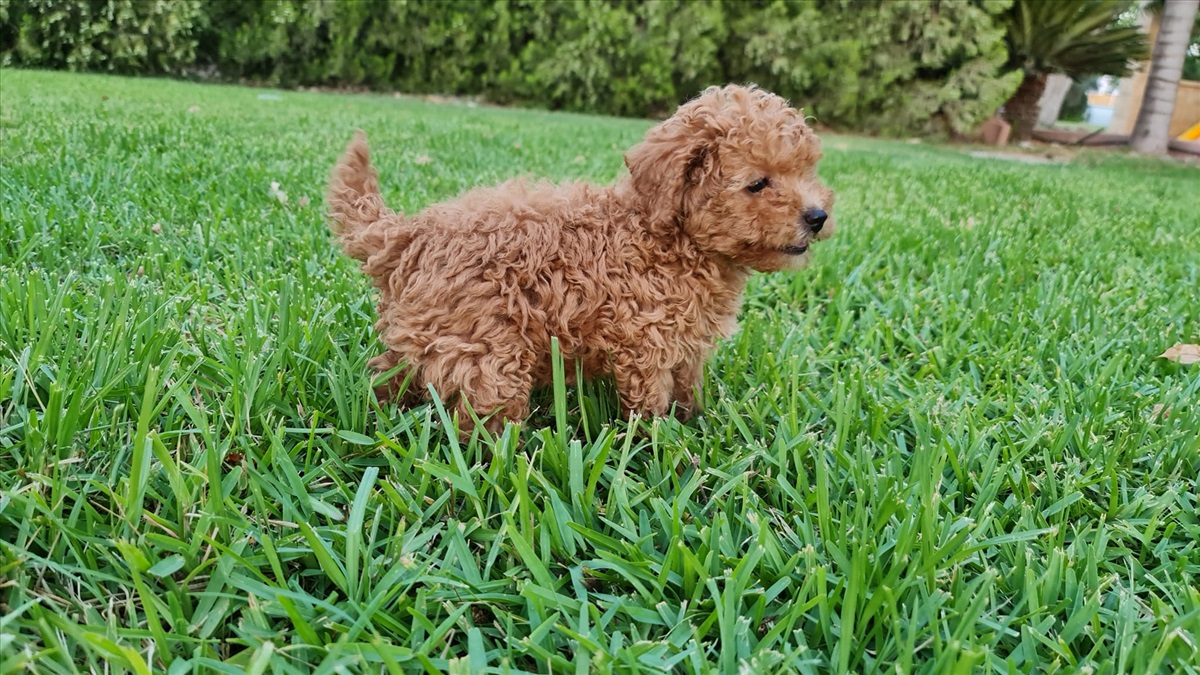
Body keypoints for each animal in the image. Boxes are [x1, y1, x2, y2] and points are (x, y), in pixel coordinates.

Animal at [328, 84, 835, 429]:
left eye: (807, 171)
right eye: (758, 183)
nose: (818, 216)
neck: (669, 236)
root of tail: (411, 232)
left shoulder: (686, 345)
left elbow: (688, 388)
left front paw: (696, 423)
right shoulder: (646, 343)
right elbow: (650, 404)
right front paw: (662, 449)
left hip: (425, 332)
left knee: (389, 372)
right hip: (487, 351)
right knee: (482, 419)